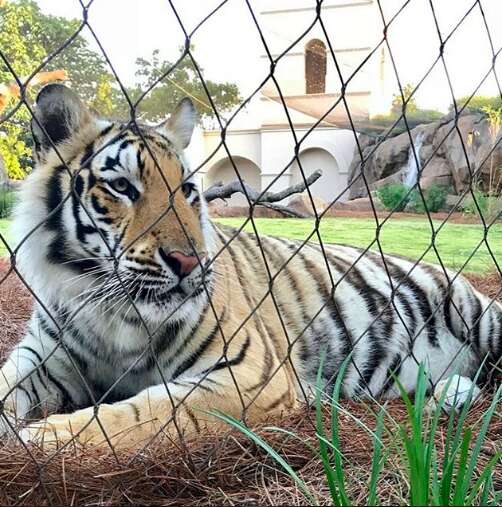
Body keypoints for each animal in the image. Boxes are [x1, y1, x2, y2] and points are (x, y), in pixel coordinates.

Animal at [0, 84, 500, 452]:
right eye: (122, 186)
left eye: (187, 190)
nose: (189, 260)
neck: (110, 312)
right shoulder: (43, 358)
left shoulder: (251, 373)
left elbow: (152, 409)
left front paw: (46, 436)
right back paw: (449, 397)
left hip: (481, 316)